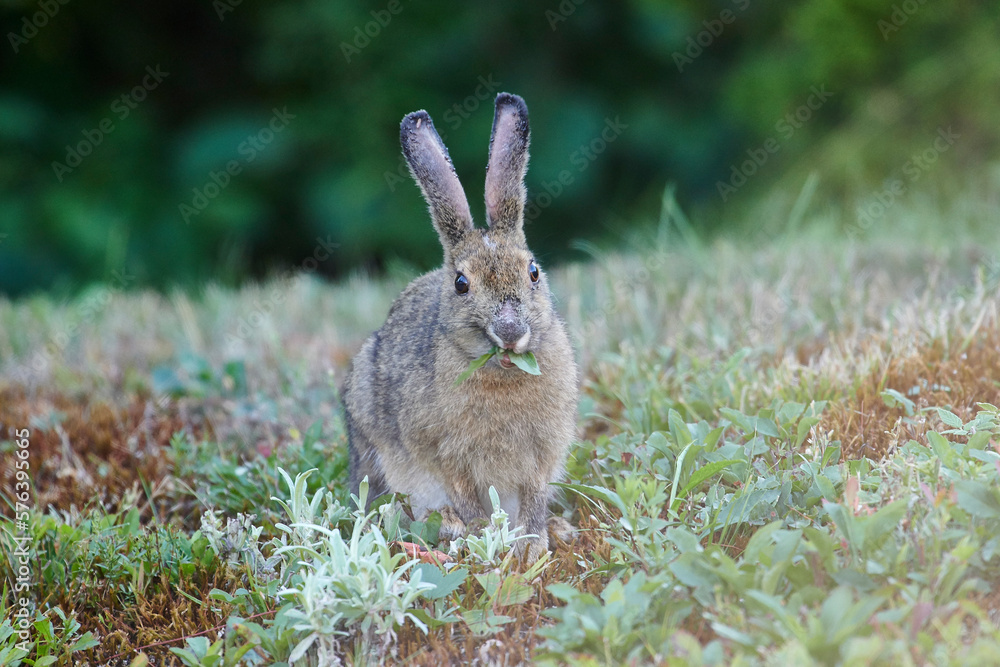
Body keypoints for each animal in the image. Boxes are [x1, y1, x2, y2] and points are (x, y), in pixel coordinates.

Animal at [343, 92, 579, 561]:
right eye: (460, 284)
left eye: (533, 272)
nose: (510, 332)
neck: (501, 373)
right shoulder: (445, 456)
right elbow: (467, 496)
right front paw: (486, 536)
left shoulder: (541, 456)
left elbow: (534, 496)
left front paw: (533, 543)